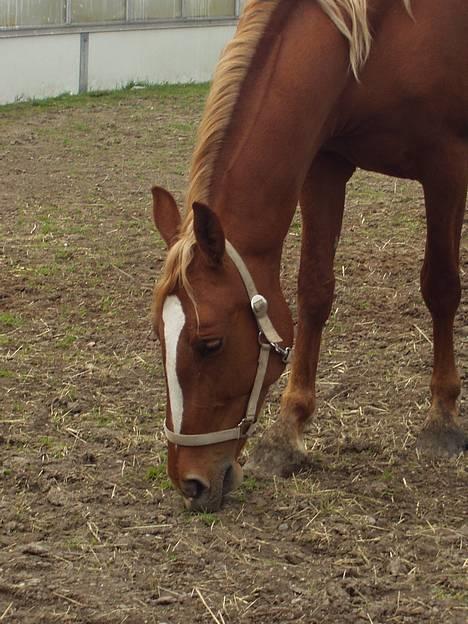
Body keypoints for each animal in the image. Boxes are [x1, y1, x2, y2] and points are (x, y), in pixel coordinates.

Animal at [152, 0, 466, 512]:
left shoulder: (446, 167)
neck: (386, 34)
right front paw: (286, 433)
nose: (190, 483)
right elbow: (314, 291)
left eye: (210, 344)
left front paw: (442, 420)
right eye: (159, 336)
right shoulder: (325, 165)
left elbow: (440, 287)